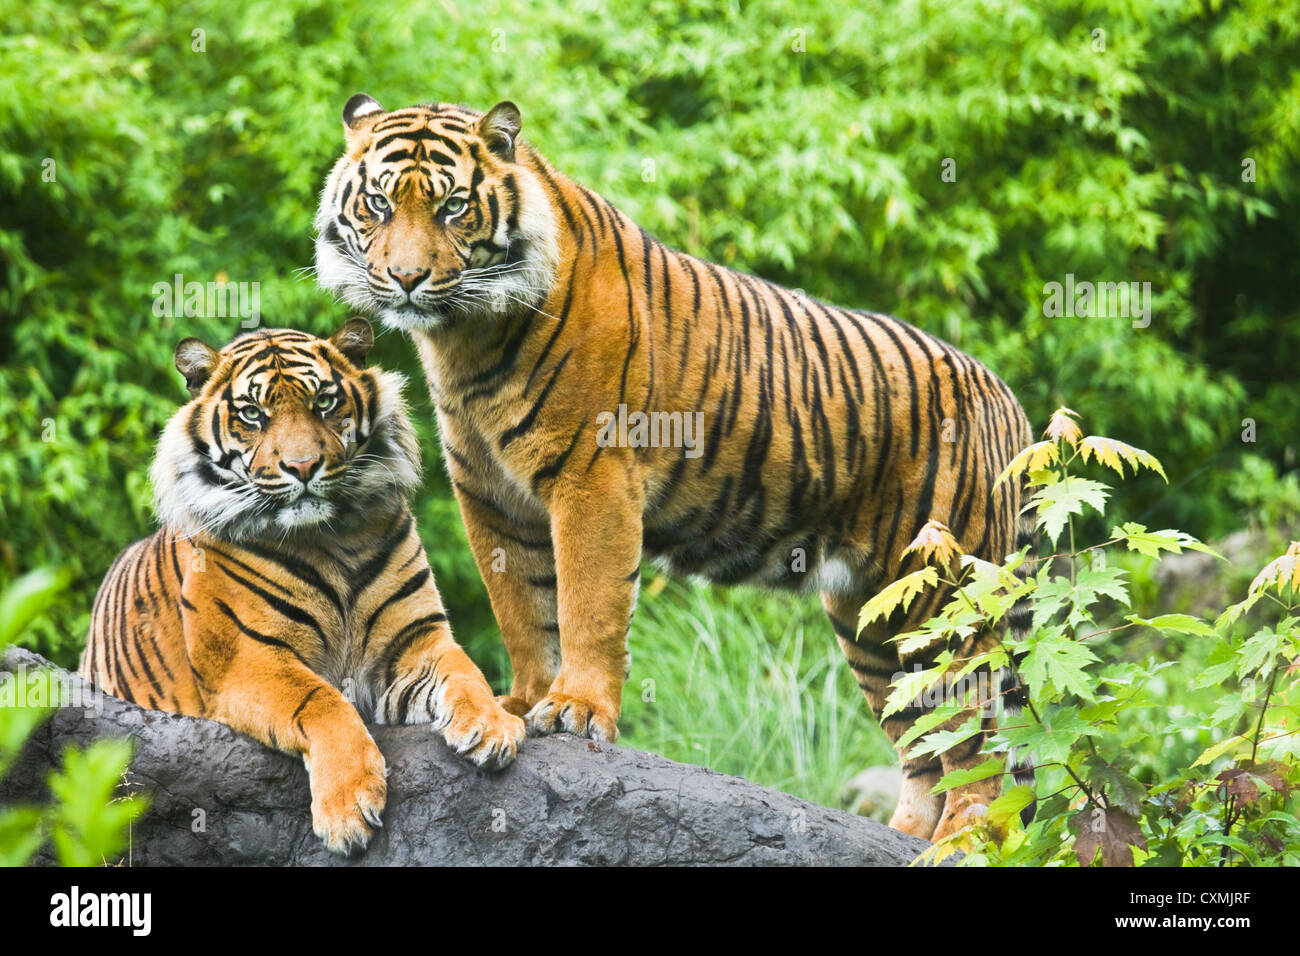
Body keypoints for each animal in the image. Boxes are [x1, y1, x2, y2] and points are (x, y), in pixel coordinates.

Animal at [79, 319, 522, 853]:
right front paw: (347, 809)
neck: (331, 539)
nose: (304, 466)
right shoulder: (249, 660)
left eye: (324, 402)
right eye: (253, 414)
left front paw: (493, 725)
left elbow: (464, 670)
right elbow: (323, 702)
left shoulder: (414, 640)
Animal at [312, 93, 1034, 842]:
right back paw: (907, 836)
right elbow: (523, 609)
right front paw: (524, 700)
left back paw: (962, 840)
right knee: (924, 739)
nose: (406, 279)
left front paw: (575, 709)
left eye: (453, 207)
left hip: (948, 596)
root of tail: (1008, 400)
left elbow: (586, 605)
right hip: (875, 617)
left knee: (978, 733)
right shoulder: (491, 497)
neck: (467, 335)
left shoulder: (592, 475)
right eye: (377, 203)